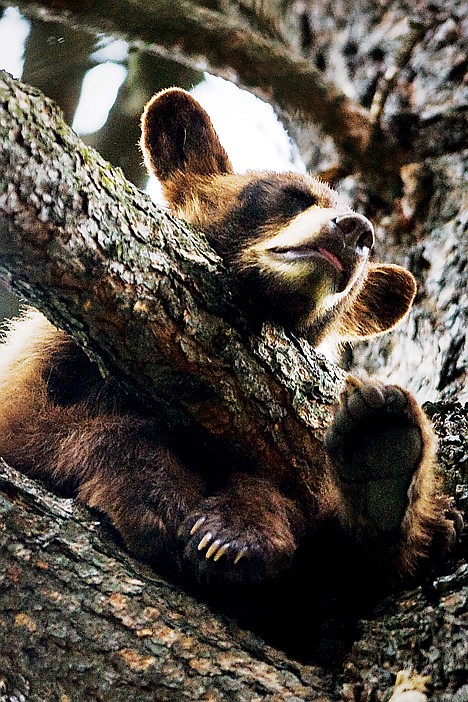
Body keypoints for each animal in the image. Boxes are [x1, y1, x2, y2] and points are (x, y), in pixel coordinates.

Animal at [0, 88, 458, 596]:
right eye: (290, 194)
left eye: (369, 246)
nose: (357, 230)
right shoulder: (44, 359)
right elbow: (31, 425)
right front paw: (155, 496)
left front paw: (236, 534)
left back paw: (381, 453)